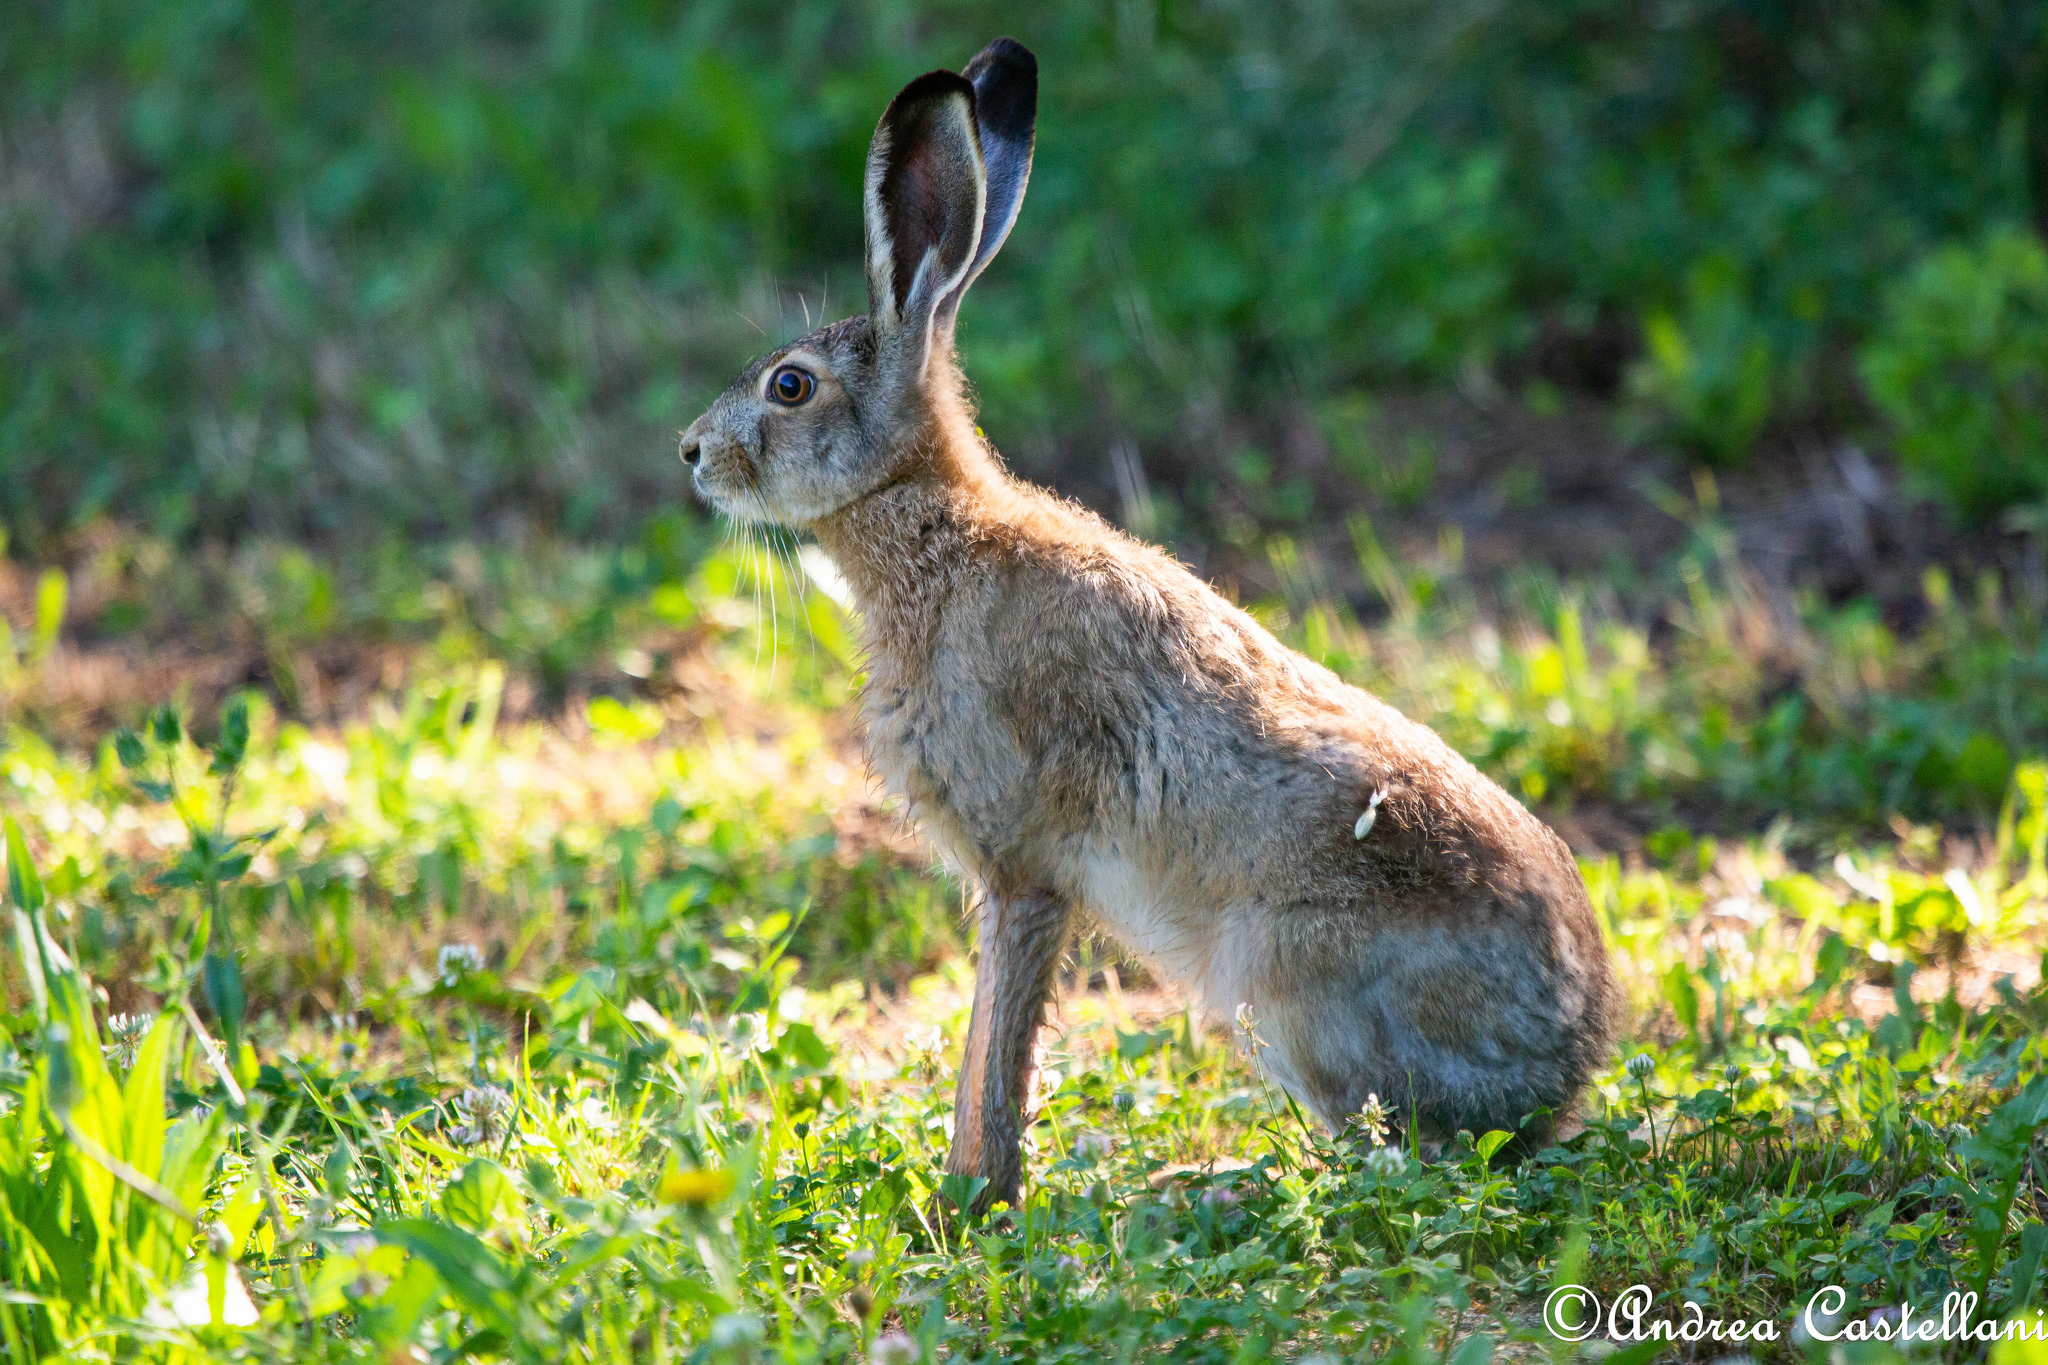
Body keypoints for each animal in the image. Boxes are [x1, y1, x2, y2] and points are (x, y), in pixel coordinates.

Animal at [679, 37, 1622, 1213]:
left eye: (790, 387)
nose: (692, 452)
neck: (931, 528)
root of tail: (1566, 1072)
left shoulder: (1023, 867)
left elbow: (998, 1044)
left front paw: (974, 1197)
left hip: (1288, 983)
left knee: (1400, 1161)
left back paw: (1205, 1185)